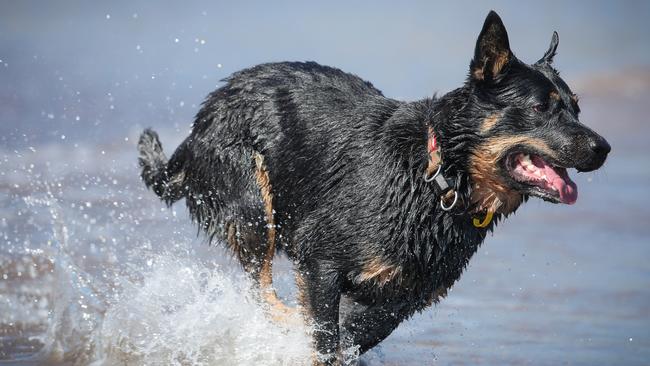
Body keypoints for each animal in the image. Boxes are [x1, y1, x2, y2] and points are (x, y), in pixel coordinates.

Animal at [137, 11, 608, 366]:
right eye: (541, 108)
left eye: (576, 108)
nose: (603, 148)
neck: (437, 176)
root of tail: (201, 121)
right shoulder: (321, 260)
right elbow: (327, 336)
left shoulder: (408, 294)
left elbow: (359, 331)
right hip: (253, 201)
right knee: (261, 286)